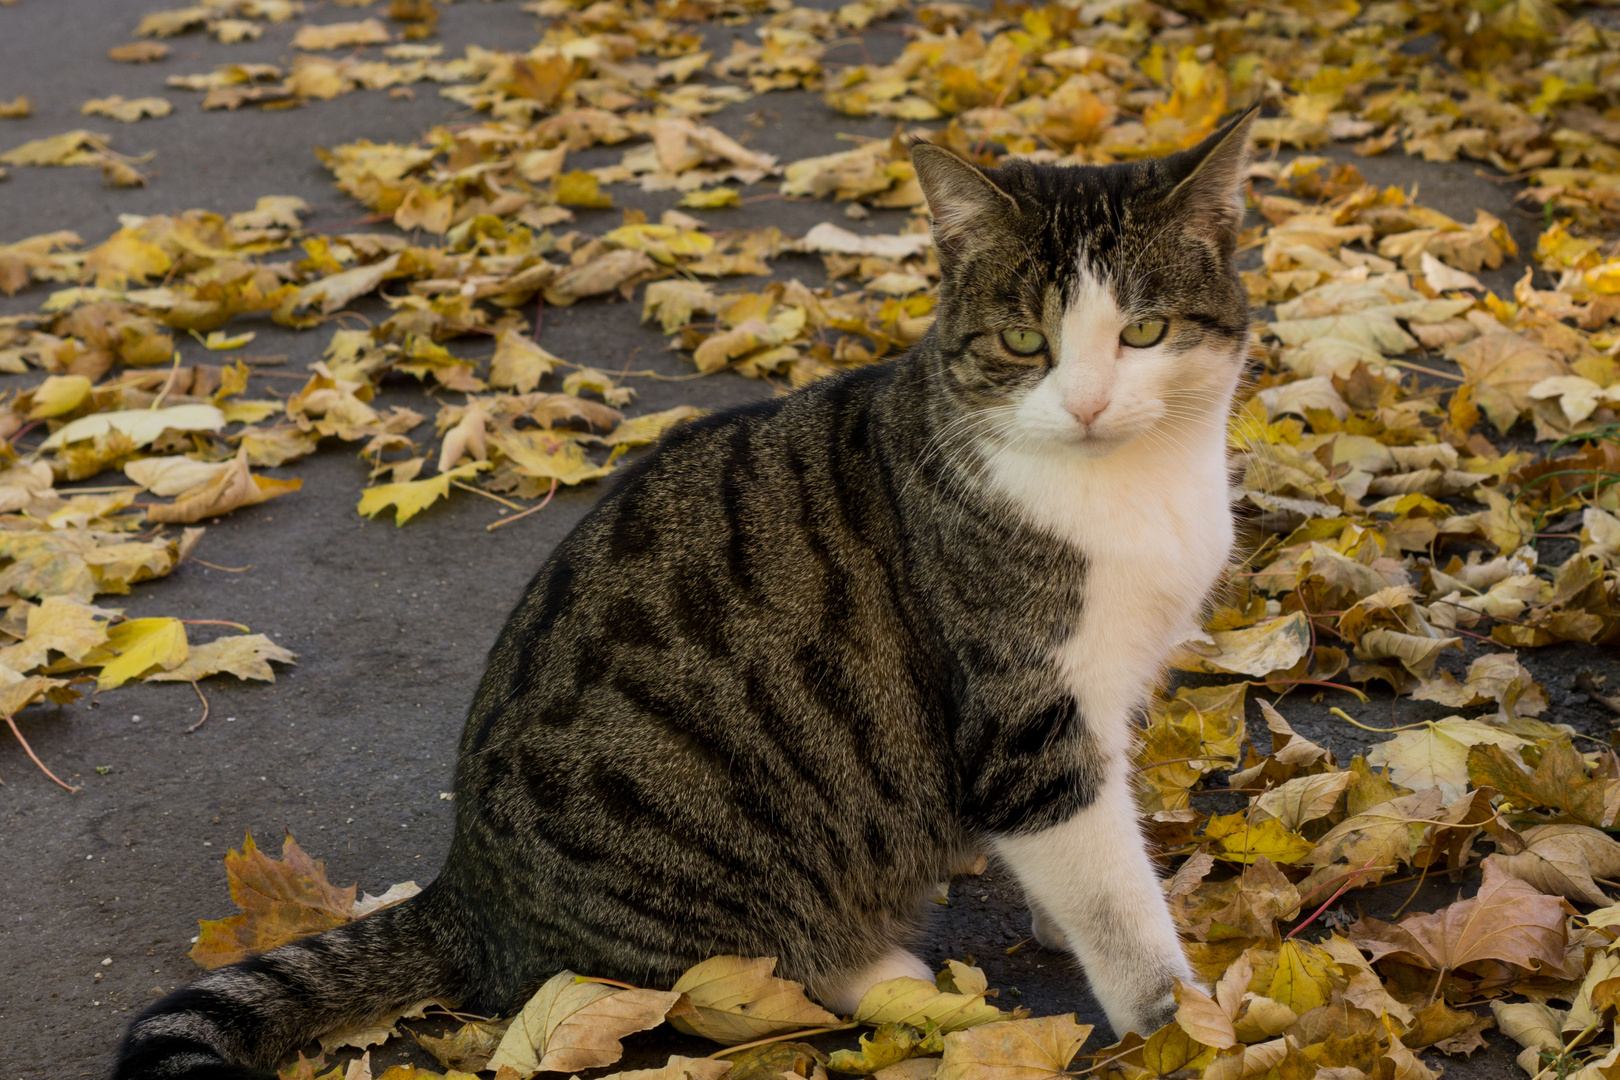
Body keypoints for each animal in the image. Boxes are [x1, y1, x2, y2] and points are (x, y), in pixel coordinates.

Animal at [114, 103, 1257, 1080]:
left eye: (1144, 333)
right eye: (1026, 342)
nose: (1090, 401)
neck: (1135, 487)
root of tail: (468, 891)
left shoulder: (1107, 697)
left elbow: (1091, 853)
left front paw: (1069, 931)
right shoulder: (1025, 715)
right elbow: (1113, 897)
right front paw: (1182, 1024)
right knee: (719, 980)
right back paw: (877, 973)